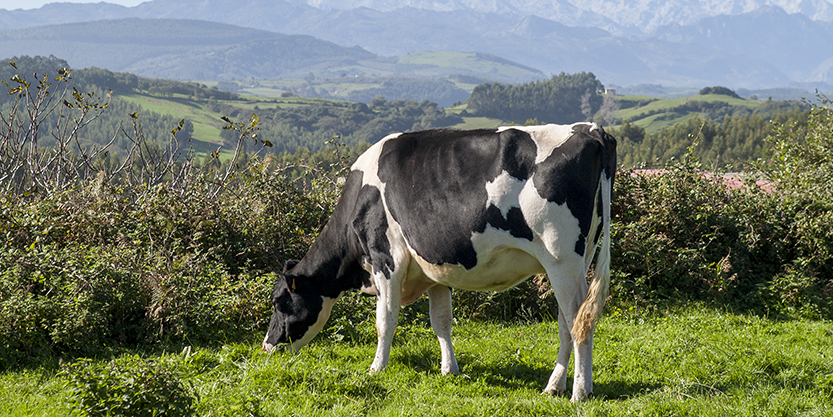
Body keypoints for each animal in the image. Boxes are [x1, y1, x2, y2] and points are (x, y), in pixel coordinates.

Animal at [264, 122, 616, 402]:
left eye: (279, 302)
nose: (267, 348)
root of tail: (590, 129)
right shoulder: (435, 270)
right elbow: (442, 321)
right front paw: (450, 369)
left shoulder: (386, 259)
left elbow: (385, 320)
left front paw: (377, 367)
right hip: (577, 260)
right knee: (566, 323)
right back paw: (555, 386)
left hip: (561, 259)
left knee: (579, 321)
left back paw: (579, 392)